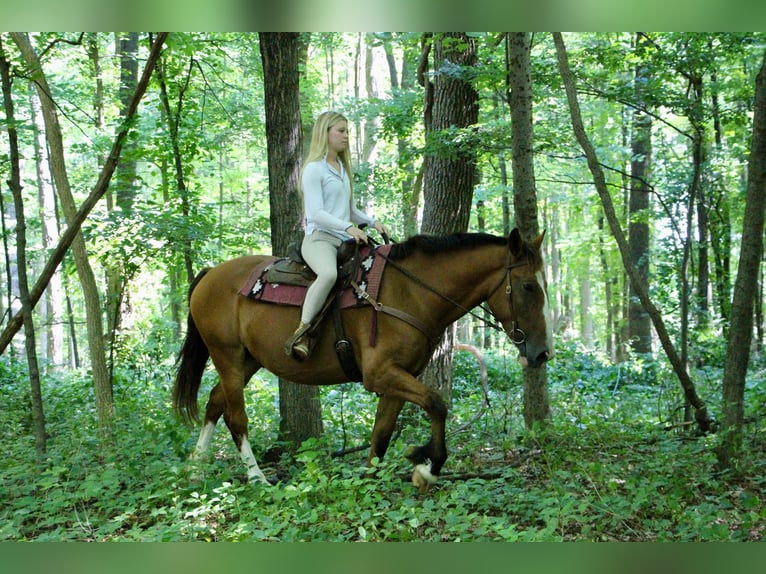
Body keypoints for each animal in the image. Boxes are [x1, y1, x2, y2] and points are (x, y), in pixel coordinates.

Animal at [174, 228, 556, 490]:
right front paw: (427, 467)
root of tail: (211, 274)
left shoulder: (399, 376)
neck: (409, 292)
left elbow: (382, 432)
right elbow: (437, 404)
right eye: (528, 286)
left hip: (248, 361)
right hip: (227, 355)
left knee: (214, 402)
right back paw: (256, 478)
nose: (542, 353)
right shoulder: (380, 373)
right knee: (235, 417)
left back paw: (195, 469)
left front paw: (371, 479)